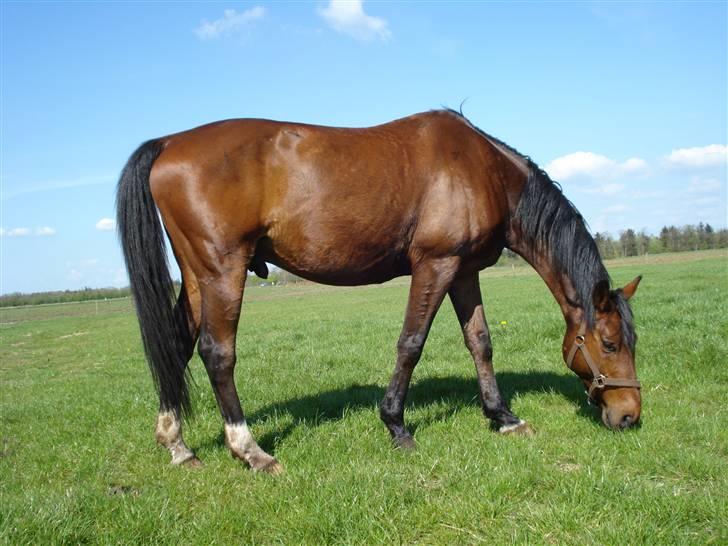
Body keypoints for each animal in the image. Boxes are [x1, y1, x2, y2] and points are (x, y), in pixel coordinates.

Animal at [115, 108, 644, 470]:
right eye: (609, 343)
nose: (630, 417)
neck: (485, 171)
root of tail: (168, 142)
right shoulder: (435, 264)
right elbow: (411, 344)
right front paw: (396, 425)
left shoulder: (465, 272)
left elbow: (480, 343)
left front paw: (503, 416)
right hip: (223, 271)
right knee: (217, 353)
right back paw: (250, 450)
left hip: (198, 277)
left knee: (177, 346)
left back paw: (178, 445)